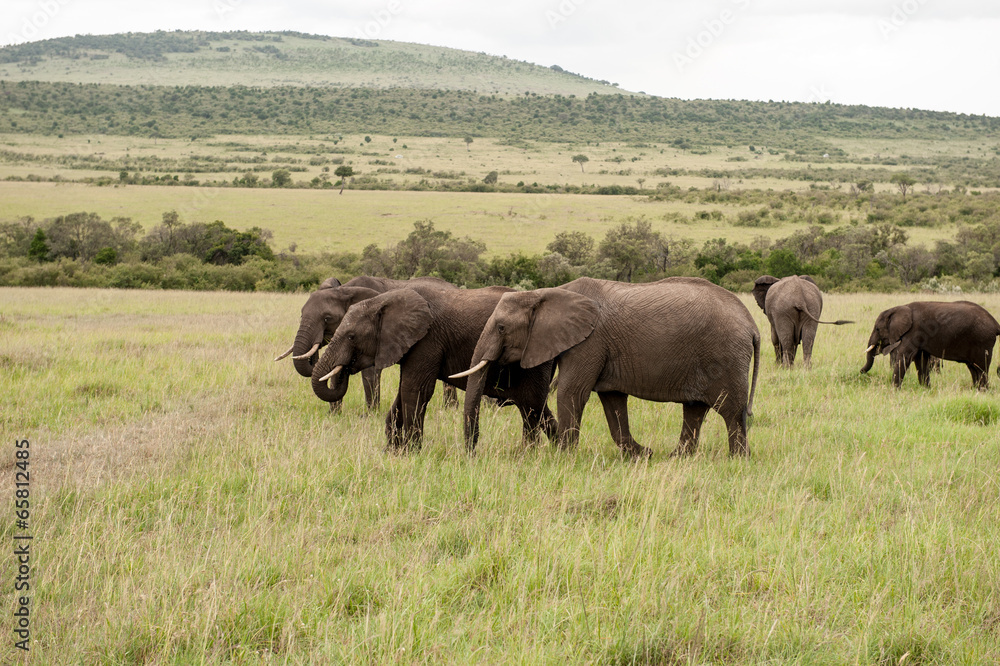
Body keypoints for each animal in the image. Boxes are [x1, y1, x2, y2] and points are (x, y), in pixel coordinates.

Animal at [274, 275, 458, 411]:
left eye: (327, 318)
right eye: (301, 314)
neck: (345, 290)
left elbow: (369, 373)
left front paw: (371, 414)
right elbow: (334, 369)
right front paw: (334, 415)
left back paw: (449, 409)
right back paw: (450, 408)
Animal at [311, 284, 557, 451]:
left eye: (351, 336)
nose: (344, 367)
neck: (383, 301)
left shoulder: (427, 339)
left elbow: (415, 390)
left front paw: (411, 452)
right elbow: (403, 392)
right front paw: (391, 452)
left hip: (538, 354)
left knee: (531, 404)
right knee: (534, 406)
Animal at [453, 277, 761, 458]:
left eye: (501, 328)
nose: (472, 453)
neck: (545, 293)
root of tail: (752, 324)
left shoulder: (589, 341)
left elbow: (572, 393)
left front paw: (562, 458)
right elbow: (613, 402)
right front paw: (642, 454)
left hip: (726, 356)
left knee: (731, 412)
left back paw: (737, 460)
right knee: (695, 410)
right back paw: (677, 457)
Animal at [860, 300, 1000, 389]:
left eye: (877, 329)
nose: (861, 372)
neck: (899, 308)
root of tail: (996, 323)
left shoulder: (914, 332)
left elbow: (904, 357)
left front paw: (894, 390)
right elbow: (921, 360)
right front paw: (925, 389)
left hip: (983, 341)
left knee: (981, 368)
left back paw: (983, 391)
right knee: (973, 368)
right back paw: (976, 390)